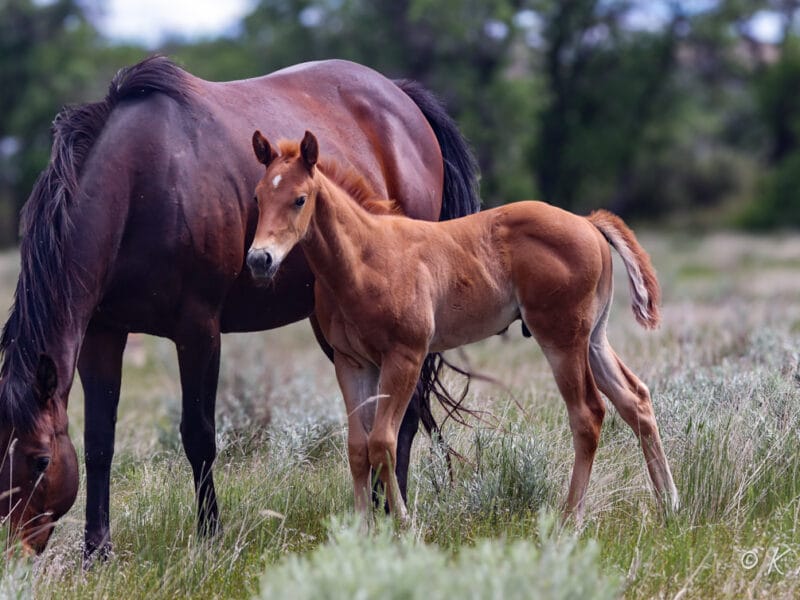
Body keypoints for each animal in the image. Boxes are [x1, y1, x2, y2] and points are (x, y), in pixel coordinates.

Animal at [247, 129, 680, 524]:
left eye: (299, 199)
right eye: (258, 197)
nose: (259, 260)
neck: (365, 259)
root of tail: (588, 223)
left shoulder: (405, 355)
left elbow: (382, 442)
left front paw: (404, 524)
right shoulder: (351, 362)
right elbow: (357, 447)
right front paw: (361, 528)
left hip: (561, 338)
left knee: (588, 414)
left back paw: (569, 517)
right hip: (593, 337)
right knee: (635, 399)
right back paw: (668, 504)